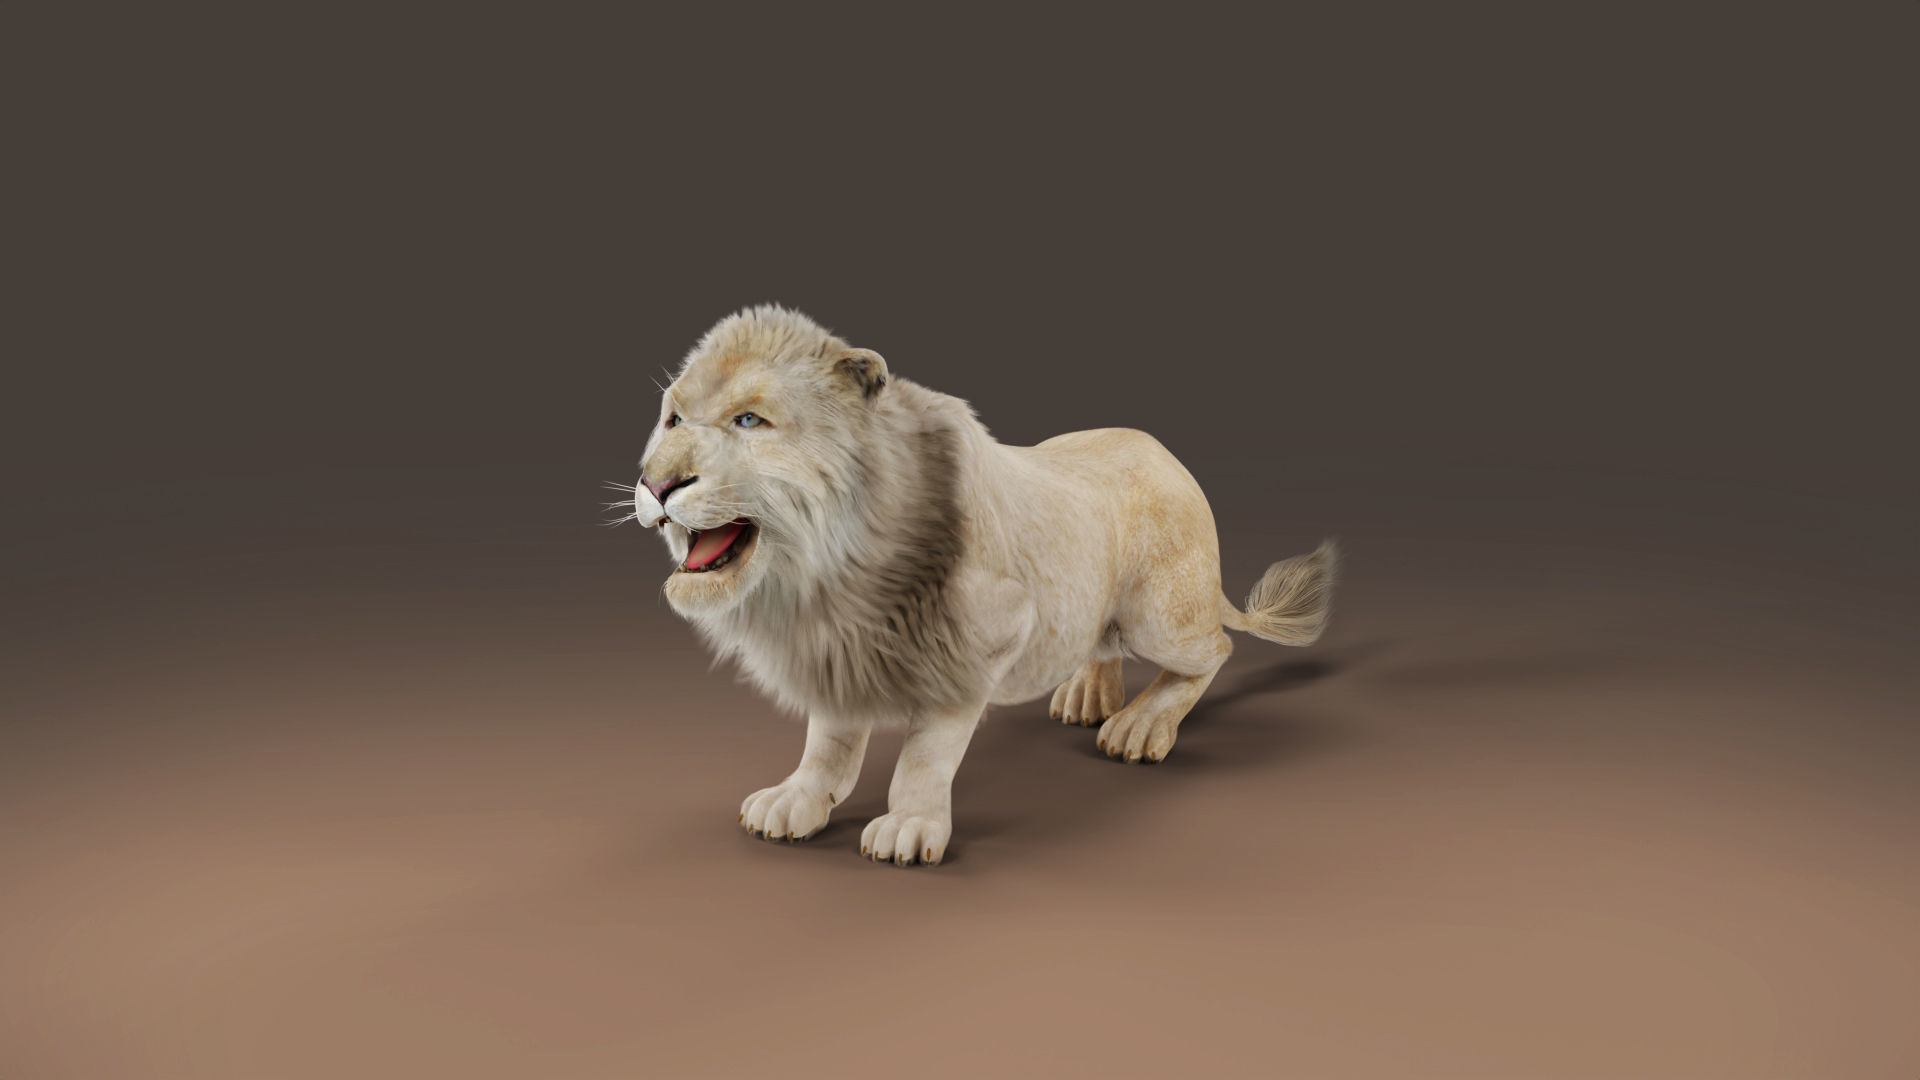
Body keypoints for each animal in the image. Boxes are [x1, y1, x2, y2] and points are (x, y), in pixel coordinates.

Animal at [629, 305, 1336, 866]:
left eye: (749, 421)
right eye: (673, 419)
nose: (655, 484)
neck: (827, 580)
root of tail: (1170, 456)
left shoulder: (981, 638)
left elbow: (927, 751)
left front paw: (909, 826)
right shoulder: (836, 653)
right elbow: (828, 741)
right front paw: (796, 799)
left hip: (1160, 615)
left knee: (1215, 651)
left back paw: (1138, 727)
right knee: (1104, 640)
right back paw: (1087, 695)